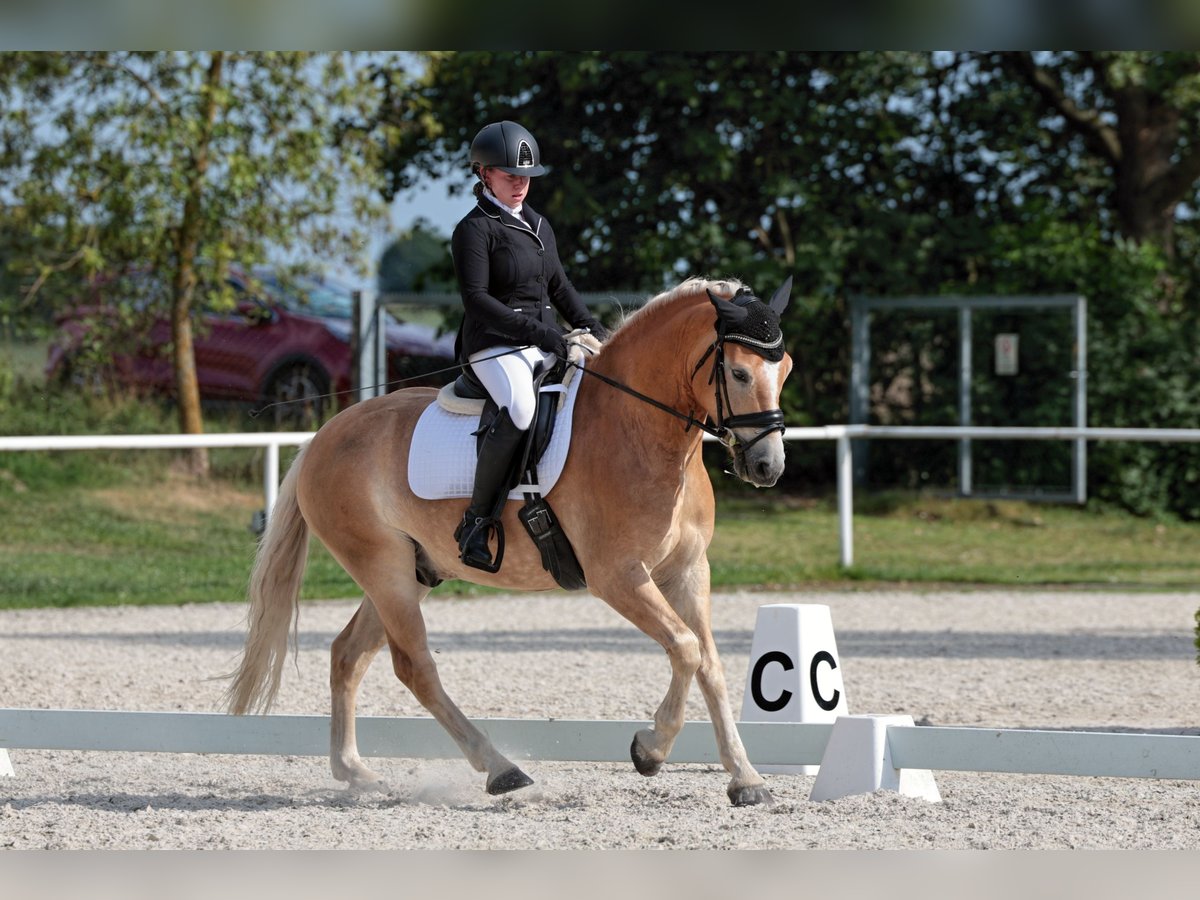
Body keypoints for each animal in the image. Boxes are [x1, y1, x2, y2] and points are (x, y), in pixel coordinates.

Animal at [225, 277, 796, 811]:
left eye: (785, 369)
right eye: (739, 373)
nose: (768, 467)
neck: (638, 429)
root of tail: (323, 436)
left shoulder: (688, 570)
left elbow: (709, 664)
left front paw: (746, 780)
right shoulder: (618, 576)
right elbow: (685, 647)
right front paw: (649, 750)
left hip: (413, 570)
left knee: (348, 654)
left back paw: (354, 771)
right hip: (383, 570)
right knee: (414, 668)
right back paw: (502, 770)